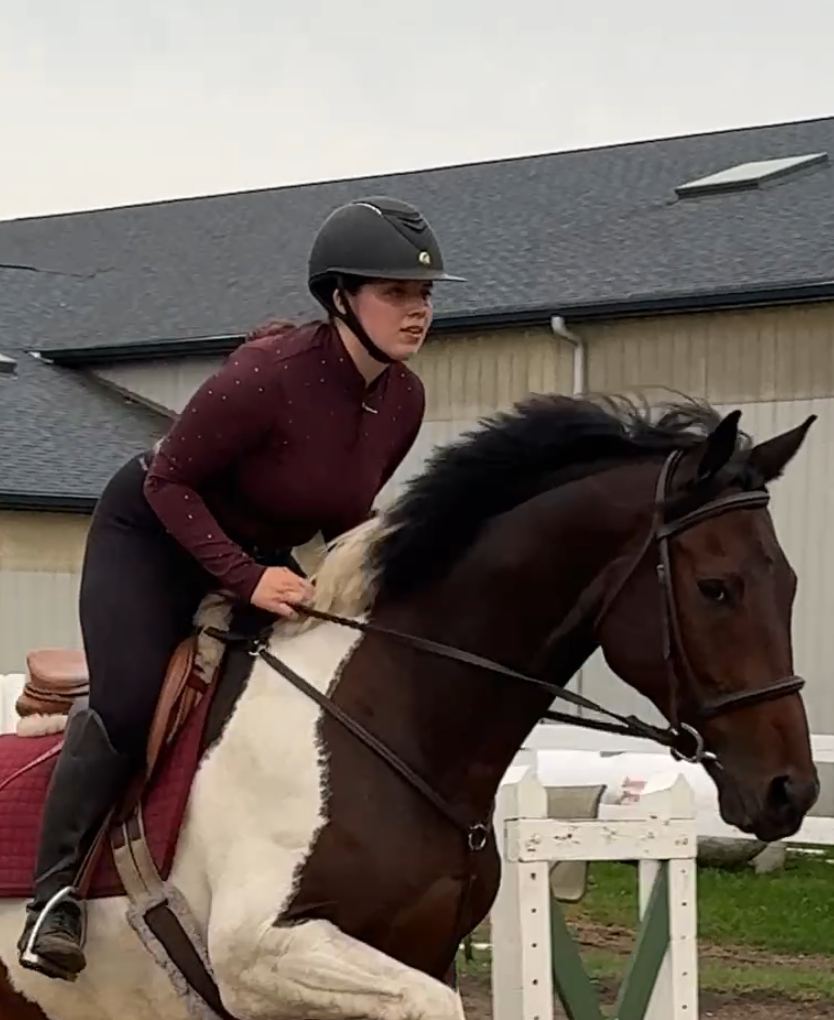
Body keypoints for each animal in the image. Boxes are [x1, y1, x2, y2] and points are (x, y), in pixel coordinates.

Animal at [0, 391, 819, 1020]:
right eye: (716, 588)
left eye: (789, 585)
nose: (792, 791)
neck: (393, 721)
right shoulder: (261, 955)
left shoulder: (418, 951)